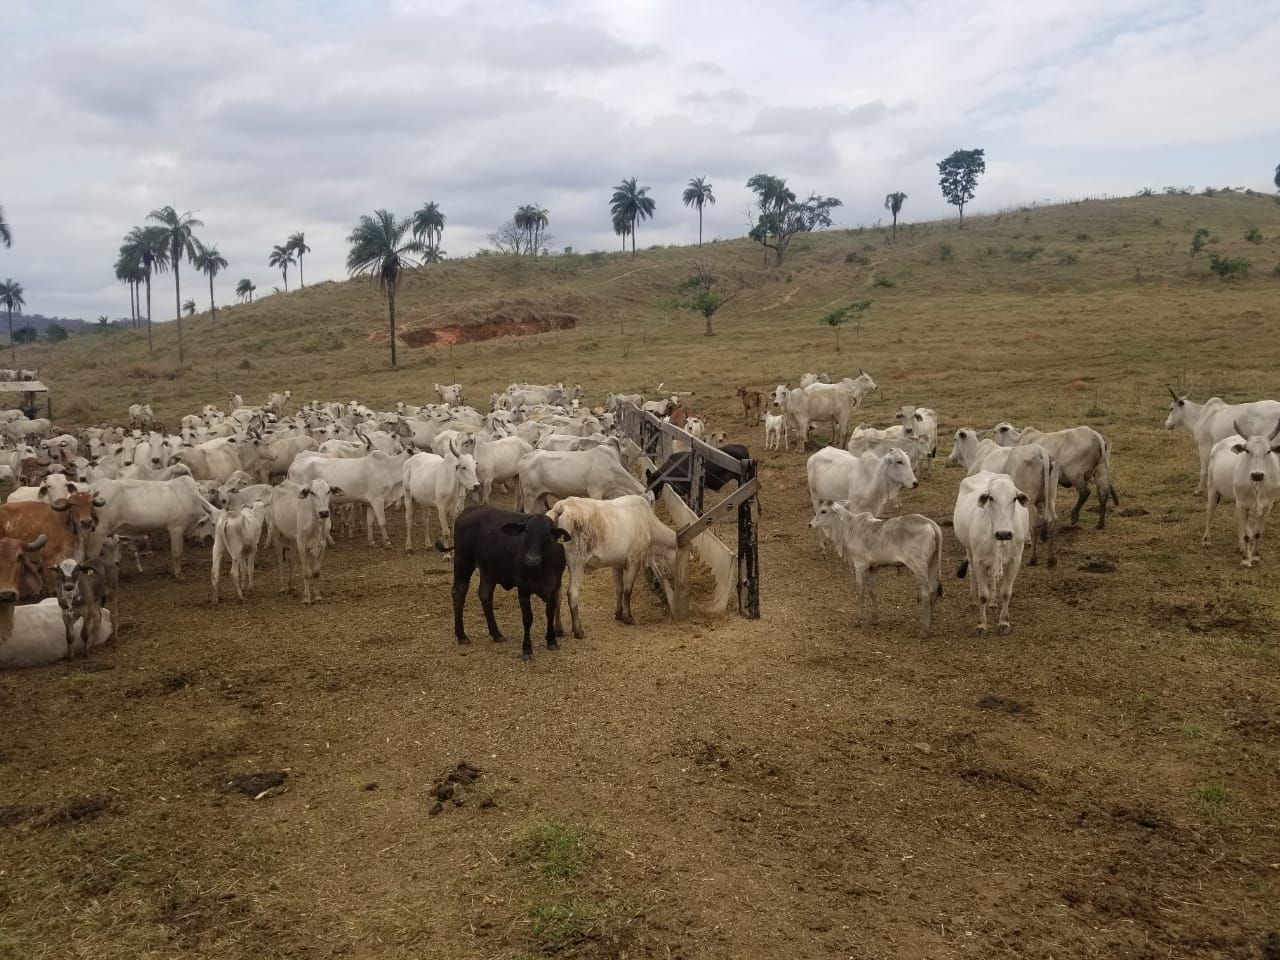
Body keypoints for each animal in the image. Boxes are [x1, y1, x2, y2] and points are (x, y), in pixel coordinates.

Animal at [450, 504, 570, 660]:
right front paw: (527, 650)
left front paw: (552, 640)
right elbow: (527, 619)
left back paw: (496, 634)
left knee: (485, 595)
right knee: (459, 592)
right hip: (463, 562)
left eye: (547, 534)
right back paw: (461, 635)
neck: (542, 569)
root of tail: (469, 510)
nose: (531, 560)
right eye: (526, 532)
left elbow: (549, 613)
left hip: (488, 571)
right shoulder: (523, 589)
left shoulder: (554, 588)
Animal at [542, 496, 680, 640]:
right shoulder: (634, 561)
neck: (649, 525)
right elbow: (627, 591)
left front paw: (618, 614)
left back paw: (559, 629)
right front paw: (628, 617)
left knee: (557, 595)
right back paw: (578, 631)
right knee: (572, 594)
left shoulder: (616, 564)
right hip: (576, 562)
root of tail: (561, 506)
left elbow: (619, 589)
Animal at [808, 504, 942, 632]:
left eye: (823, 511)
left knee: (926, 593)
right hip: (933, 564)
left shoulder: (860, 565)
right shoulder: (874, 567)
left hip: (919, 566)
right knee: (934, 591)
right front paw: (874, 618)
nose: (810, 524)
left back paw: (923, 630)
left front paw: (858, 620)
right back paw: (929, 622)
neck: (850, 528)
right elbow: (873, 591)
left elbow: (860, 591)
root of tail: (930, 523)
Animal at [952, 473, 1029, 640]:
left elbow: (1006, 592)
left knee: (992, 578)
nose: (1004, 533)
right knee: (972, 573)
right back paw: (973, 600)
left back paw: (993, 603)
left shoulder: (1015, 561)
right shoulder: (979, 560)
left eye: (1014, 498)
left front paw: (1004, 623)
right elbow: (983, 595)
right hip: (969, 550)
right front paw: (981, 625)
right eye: (991, 498)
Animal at [1198, 419, 1280, 568]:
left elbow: (1257, 533)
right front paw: (1246, 560)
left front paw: (1255, 556)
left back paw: (1241, 547)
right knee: (1209, 513)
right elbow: (1248, 535)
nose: (1257, 475)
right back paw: (1207, 540)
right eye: (1247, 450)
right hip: (1213, 488)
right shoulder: (1242, 504)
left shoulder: (1267, 506)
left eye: (1269, 451)